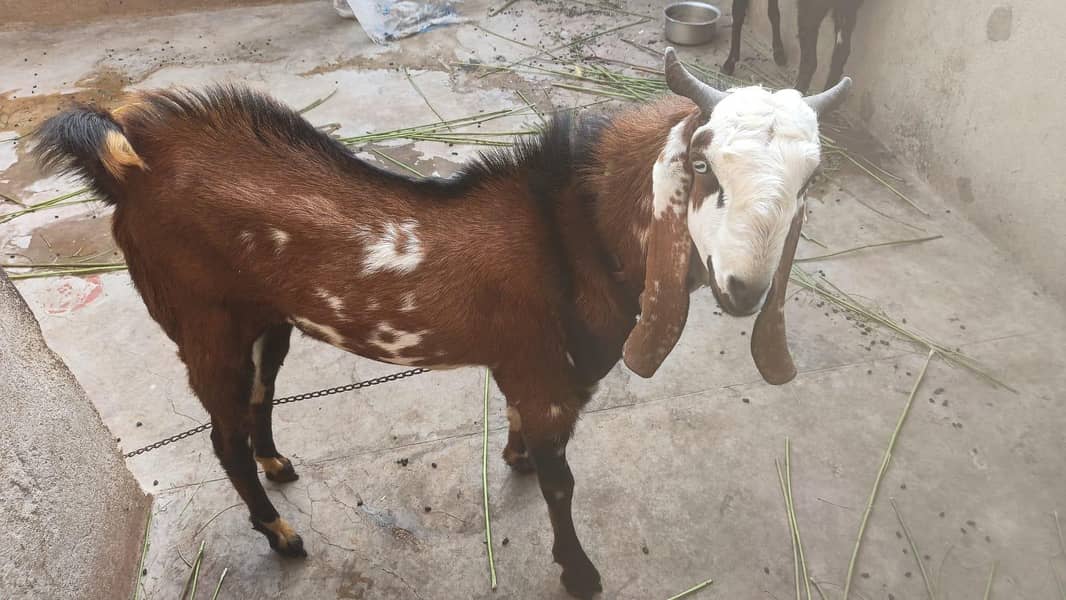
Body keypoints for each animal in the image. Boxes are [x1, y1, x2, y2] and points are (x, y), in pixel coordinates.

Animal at [34, 50, 850, 598]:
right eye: (705, 167)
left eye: (809, 180)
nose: (743, 290)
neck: (574, 232)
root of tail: (130, 163)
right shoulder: (550, 378)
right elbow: (562, 483)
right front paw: (579, 571)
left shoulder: (531, 374)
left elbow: (530, 448)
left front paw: (516, 459)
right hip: (204, 323)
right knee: (222, 435)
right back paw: (284, 536)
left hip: (263, 316)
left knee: (261, 395)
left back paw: (278, 465)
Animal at [722, 0, 864, 93]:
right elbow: (772, 11)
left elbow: (737, 12)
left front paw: (729, 62)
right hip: (845, 9)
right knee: (841, 54)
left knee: (811, 60)